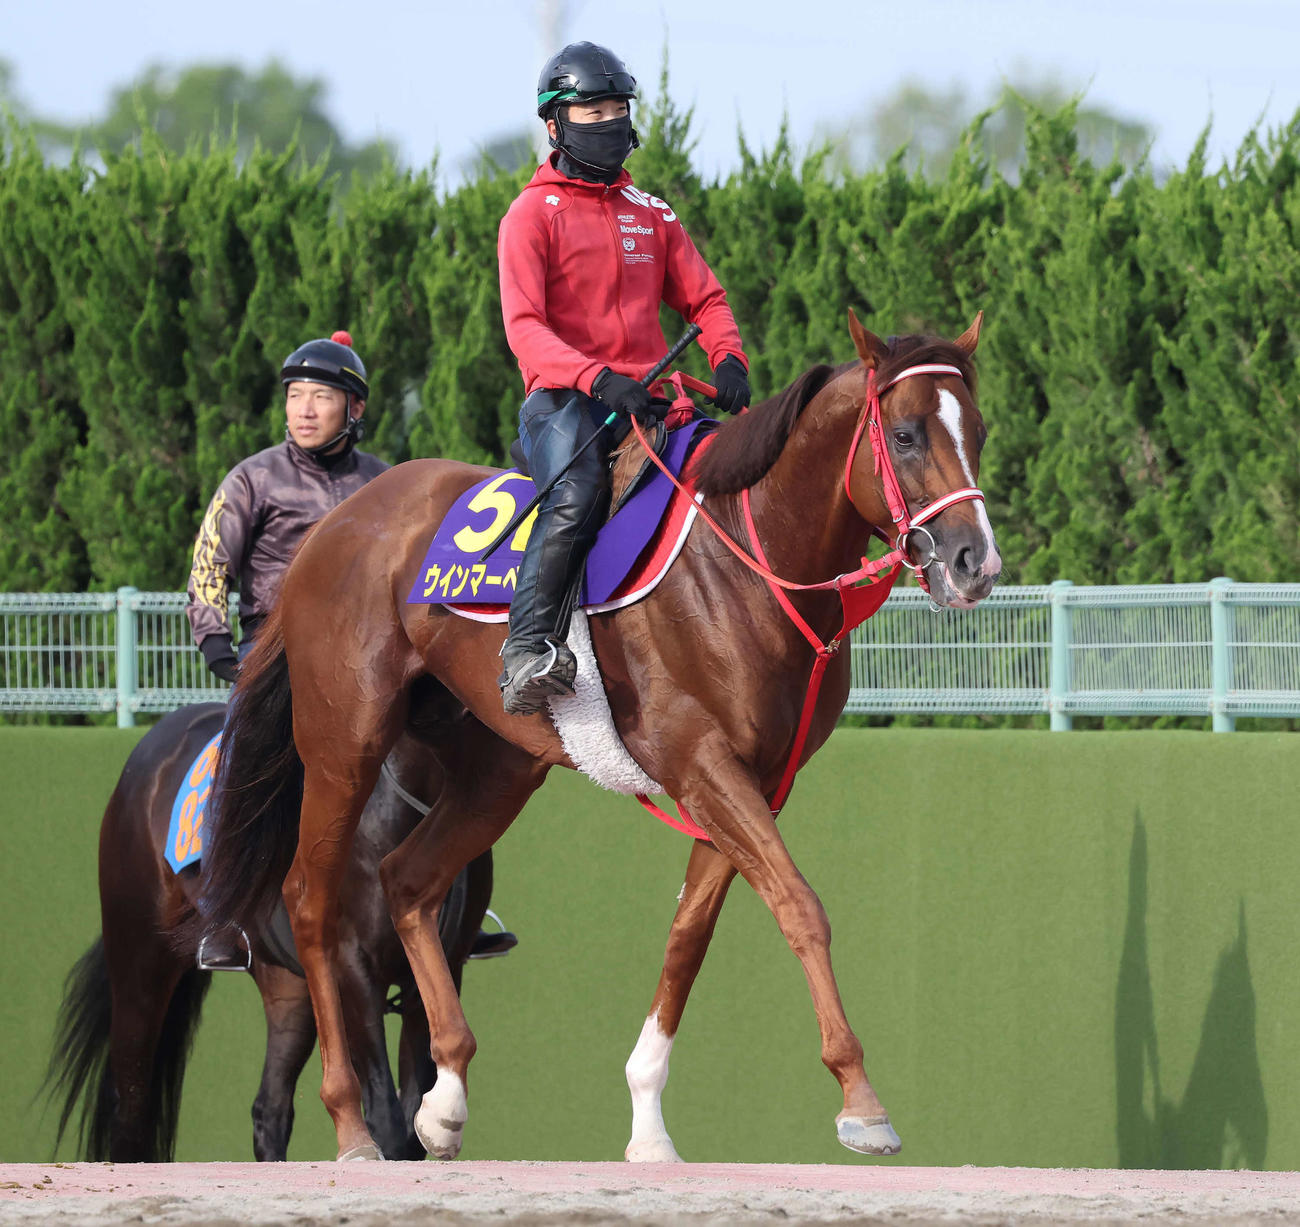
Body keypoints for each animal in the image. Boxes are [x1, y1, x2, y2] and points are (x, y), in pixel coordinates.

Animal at [45, 700, 497, 1162]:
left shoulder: (440, 969)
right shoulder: (353, 968)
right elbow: (387, 1116)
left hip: (288, 988)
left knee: (270, 1107)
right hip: (140, 968)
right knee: (130, 1105)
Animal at [195, 310, 1001, 1162]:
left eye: (978, 429)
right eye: (906, 434)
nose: (974, 561)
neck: (743, 561)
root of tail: (331, 527)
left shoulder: (749, 780)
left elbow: (690, 933)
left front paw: (648, 1122)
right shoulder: (702, 762)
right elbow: (799, 905)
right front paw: (860, 1098)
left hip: (497, 769)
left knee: (408, 877)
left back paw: (444, 1099)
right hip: (343, 745)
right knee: (312, 902)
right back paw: (351, 1122)